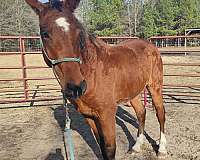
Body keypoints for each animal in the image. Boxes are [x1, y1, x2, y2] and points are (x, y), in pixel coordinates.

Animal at [25, 0, 167, 159]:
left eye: (79, 32)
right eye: (45, 34)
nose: (76, 87)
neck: (91, 74)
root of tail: (150, 45)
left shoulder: (107, 114)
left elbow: (110, 149)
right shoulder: (89, 115)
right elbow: (101, 145)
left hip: (155, 87)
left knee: (160, 113)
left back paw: (161, 148)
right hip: (132, 91)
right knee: (141, 112)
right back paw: (136, 146)